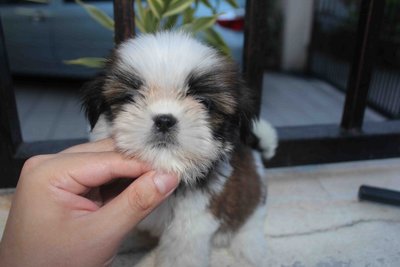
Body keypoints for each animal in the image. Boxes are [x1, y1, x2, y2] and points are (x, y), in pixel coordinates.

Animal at [81, 30, 278, 266]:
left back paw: (251, 248)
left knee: (250, 221)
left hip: (253, 200)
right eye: (130, 97)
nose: (164, 120)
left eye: (204, 102)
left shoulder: (191, 225)